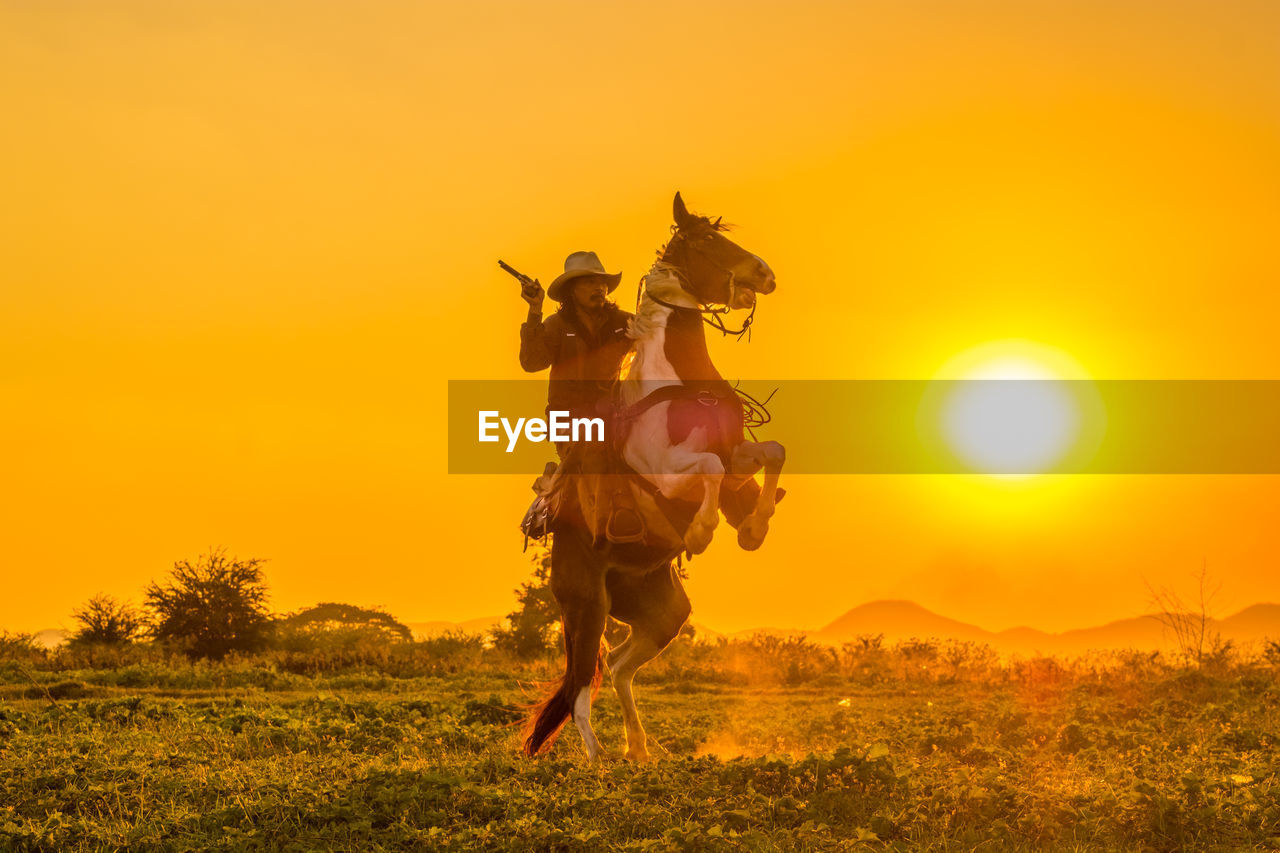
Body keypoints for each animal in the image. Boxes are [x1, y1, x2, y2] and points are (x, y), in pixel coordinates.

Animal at [522, 192, 783, 758]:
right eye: (706, 240)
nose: (765, 273)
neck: (678, 382)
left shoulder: (739, 457)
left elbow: (772, 453)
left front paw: (754, 528)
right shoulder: (671, 476)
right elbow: (708, 470)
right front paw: (702, 533)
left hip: (662, 614)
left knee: (619, 667)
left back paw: (641, 751)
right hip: (586, 609)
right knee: (580, 689)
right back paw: (601, 762)